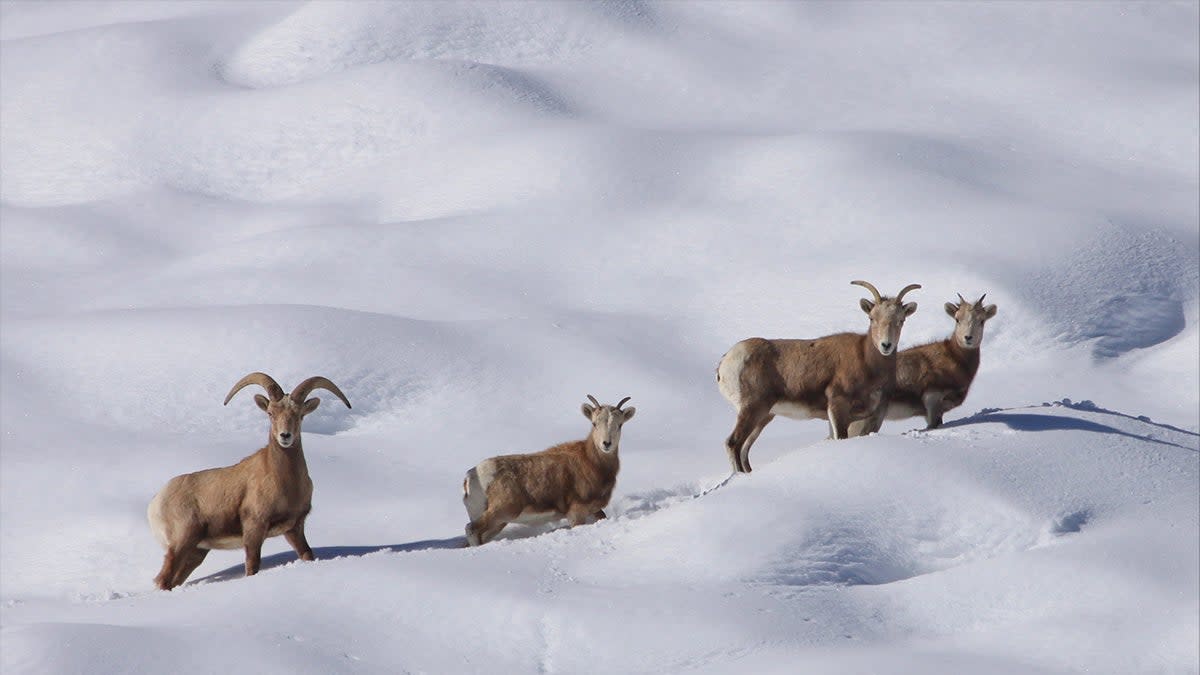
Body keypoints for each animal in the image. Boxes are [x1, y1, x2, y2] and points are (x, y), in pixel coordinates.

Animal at [147, 369, 350, 586]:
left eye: (299, 415)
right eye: (270, 413)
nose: (285, 436)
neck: (284, 482)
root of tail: (156, 502)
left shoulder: (294, 529)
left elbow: (307, 554)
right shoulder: (254, 529)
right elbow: (252, 566)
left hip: (196, 552)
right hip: (182, 543)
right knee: (162, 580)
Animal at [460, 396, 638, 542]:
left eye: (619, 425)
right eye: (594, 423)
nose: (606, 444)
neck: (593, 464)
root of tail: (471, 477)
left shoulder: (594, 510)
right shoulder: (576, 512)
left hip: (498, 521)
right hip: (501, 512)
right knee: (471, 529)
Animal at [715, 281, 921, 470]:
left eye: (901, 320)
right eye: (872, 318)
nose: (886, 345)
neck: (868, 362)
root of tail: (726, 362)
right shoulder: (838, 406)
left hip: (764, 416)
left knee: (744, 450)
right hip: (752, 409)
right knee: (733, 444)